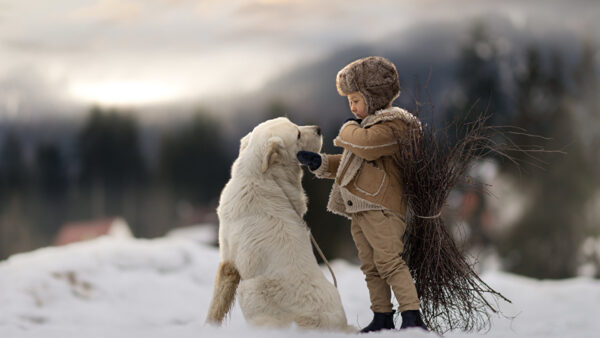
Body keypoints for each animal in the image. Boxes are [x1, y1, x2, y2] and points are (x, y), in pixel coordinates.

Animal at [206, 117, 352, 332]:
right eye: (298, 134)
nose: (318, 129)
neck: (258, 176)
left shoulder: (229, 263)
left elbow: (216, 306)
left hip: (249, 289)